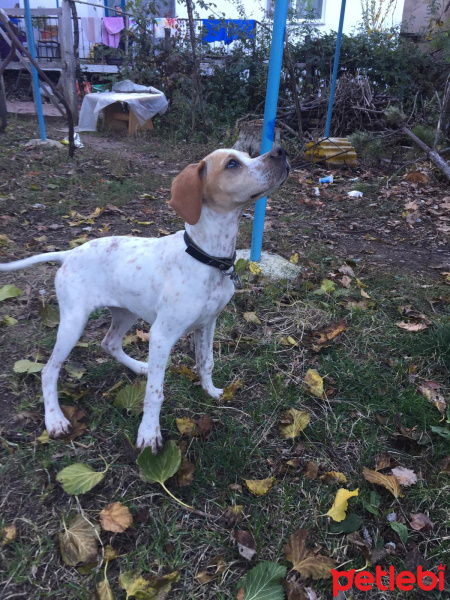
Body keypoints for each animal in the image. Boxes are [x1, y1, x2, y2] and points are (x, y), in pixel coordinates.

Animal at [0, 148, 288, 452]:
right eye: (232, 164)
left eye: (247, 154)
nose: (280, 151)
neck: (205, 258)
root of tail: (69, 254)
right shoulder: (162, 335)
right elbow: (155, 392)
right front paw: (149, 433)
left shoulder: (207, 323)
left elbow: (205, 362)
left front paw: (211, 391)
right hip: (73, 322)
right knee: (49, 370)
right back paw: (55, 419)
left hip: (126, 312)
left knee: (109, 343)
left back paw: (141, 366)